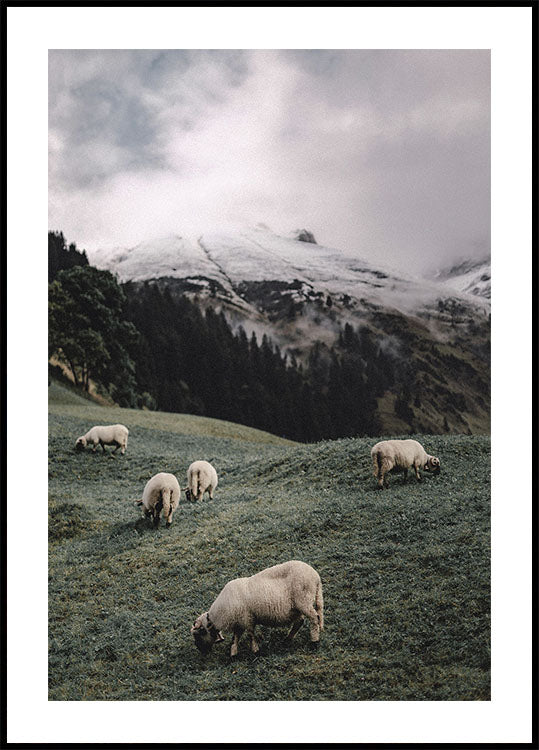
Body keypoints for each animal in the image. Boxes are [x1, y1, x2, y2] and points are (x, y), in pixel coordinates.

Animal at [191, 560, 324, 656]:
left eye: (198, 635)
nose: (201, 651)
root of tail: (316, 576)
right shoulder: (239, 623)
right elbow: (235, 638)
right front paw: (233, 655)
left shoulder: (247, 619)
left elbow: (250, 635)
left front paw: (255, 651)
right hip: (296, 607)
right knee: (300, 621)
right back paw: (287, 639)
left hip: (303, 601)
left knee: (314, 618)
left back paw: (314, 642)